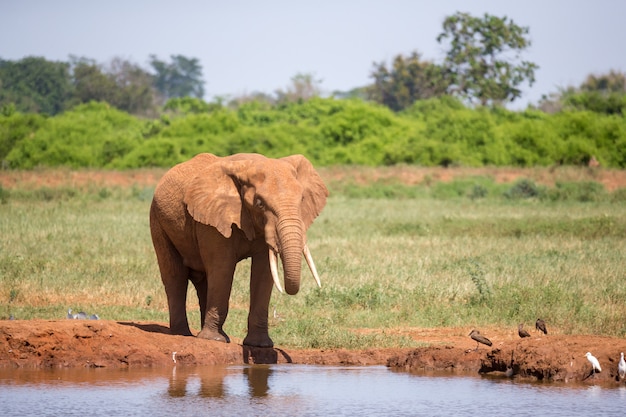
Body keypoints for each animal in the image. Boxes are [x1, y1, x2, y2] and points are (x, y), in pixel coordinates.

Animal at [149, 151, 330, 346]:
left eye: (302, 199)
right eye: (259, 203)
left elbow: (263, 271)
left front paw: (260, 344)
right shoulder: (213, 218)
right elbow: (223, 267)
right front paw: (215, 340)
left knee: (203, 279)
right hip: (157, 220)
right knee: (176, 276)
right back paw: (183, 334)